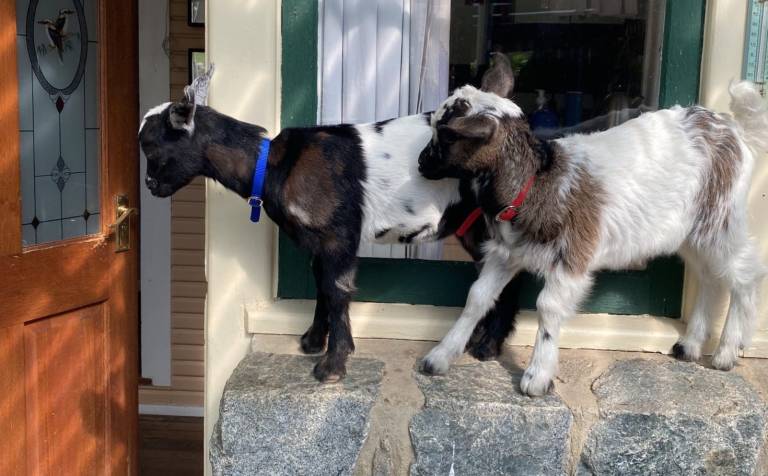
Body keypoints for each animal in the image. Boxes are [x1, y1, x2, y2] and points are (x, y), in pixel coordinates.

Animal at [138, 63, 523, 382]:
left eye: (150, 146)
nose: (150, 186)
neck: (274, 165)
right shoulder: (317, 243)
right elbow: (321, 285)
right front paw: (312, 342)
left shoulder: (338, 236)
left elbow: (337, 290)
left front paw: (332, 366)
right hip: (473, 227)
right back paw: (484, 343)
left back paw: (487, 348)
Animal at [418, 64, 768, 396]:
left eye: (447, 137)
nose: (421, 163)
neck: (537, 182)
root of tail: (734, 130)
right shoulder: (507, 254)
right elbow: (477, 297)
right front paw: (438, 358)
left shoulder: (572, 258)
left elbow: (548, 307)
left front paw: (536, 378)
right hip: (694, 233)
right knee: (711, 277)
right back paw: (690, 346)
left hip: (722, 219)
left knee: (745, 275)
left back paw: (727, 352)